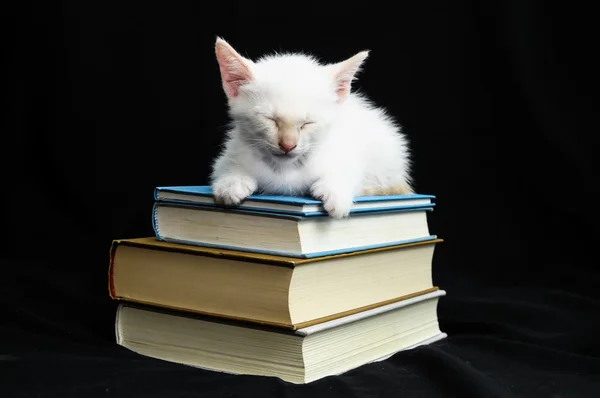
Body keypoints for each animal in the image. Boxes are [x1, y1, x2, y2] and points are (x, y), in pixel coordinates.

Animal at [210, 37, 412, 218]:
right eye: (270, 119)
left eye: (307, 123)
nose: (288, 145)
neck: (285, 170)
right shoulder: (234, 148)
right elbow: (224, 165)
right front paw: (232, 182)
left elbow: (351, 168)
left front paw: (336, 191)